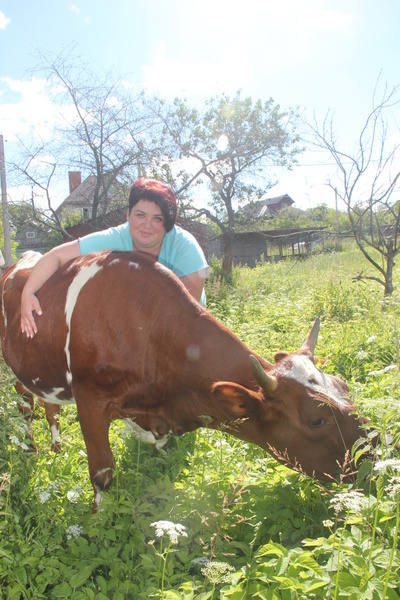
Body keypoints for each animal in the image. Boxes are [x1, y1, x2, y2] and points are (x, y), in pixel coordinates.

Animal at [0, 248, 368, 506]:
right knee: (26, 405)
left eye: (344, 387)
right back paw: (32, 450)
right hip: (15, 369)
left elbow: (159, 455)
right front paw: (99, 519)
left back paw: (56, 447)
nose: (373, 449)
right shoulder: (90, 400)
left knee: (50, 406)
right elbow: (102, 474)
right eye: (317, 420)